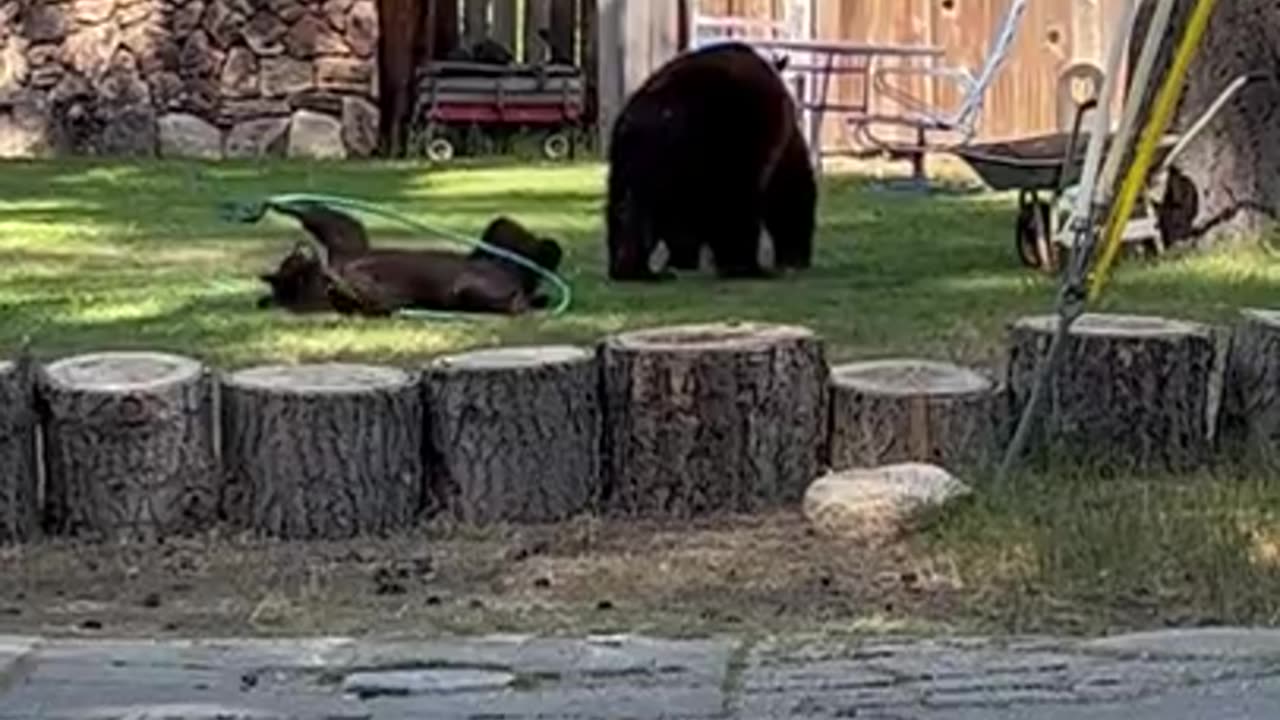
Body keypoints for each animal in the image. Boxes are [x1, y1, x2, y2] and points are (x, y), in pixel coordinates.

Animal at [257, 199, 563, 315]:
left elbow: (344, 226)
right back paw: (526, 298)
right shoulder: (346, 292)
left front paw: (284, 205)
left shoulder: (345, 251)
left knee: (503, 228)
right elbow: (375, 299)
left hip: (496, 248)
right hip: (470, 290)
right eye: (289, 263)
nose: (298, 249)